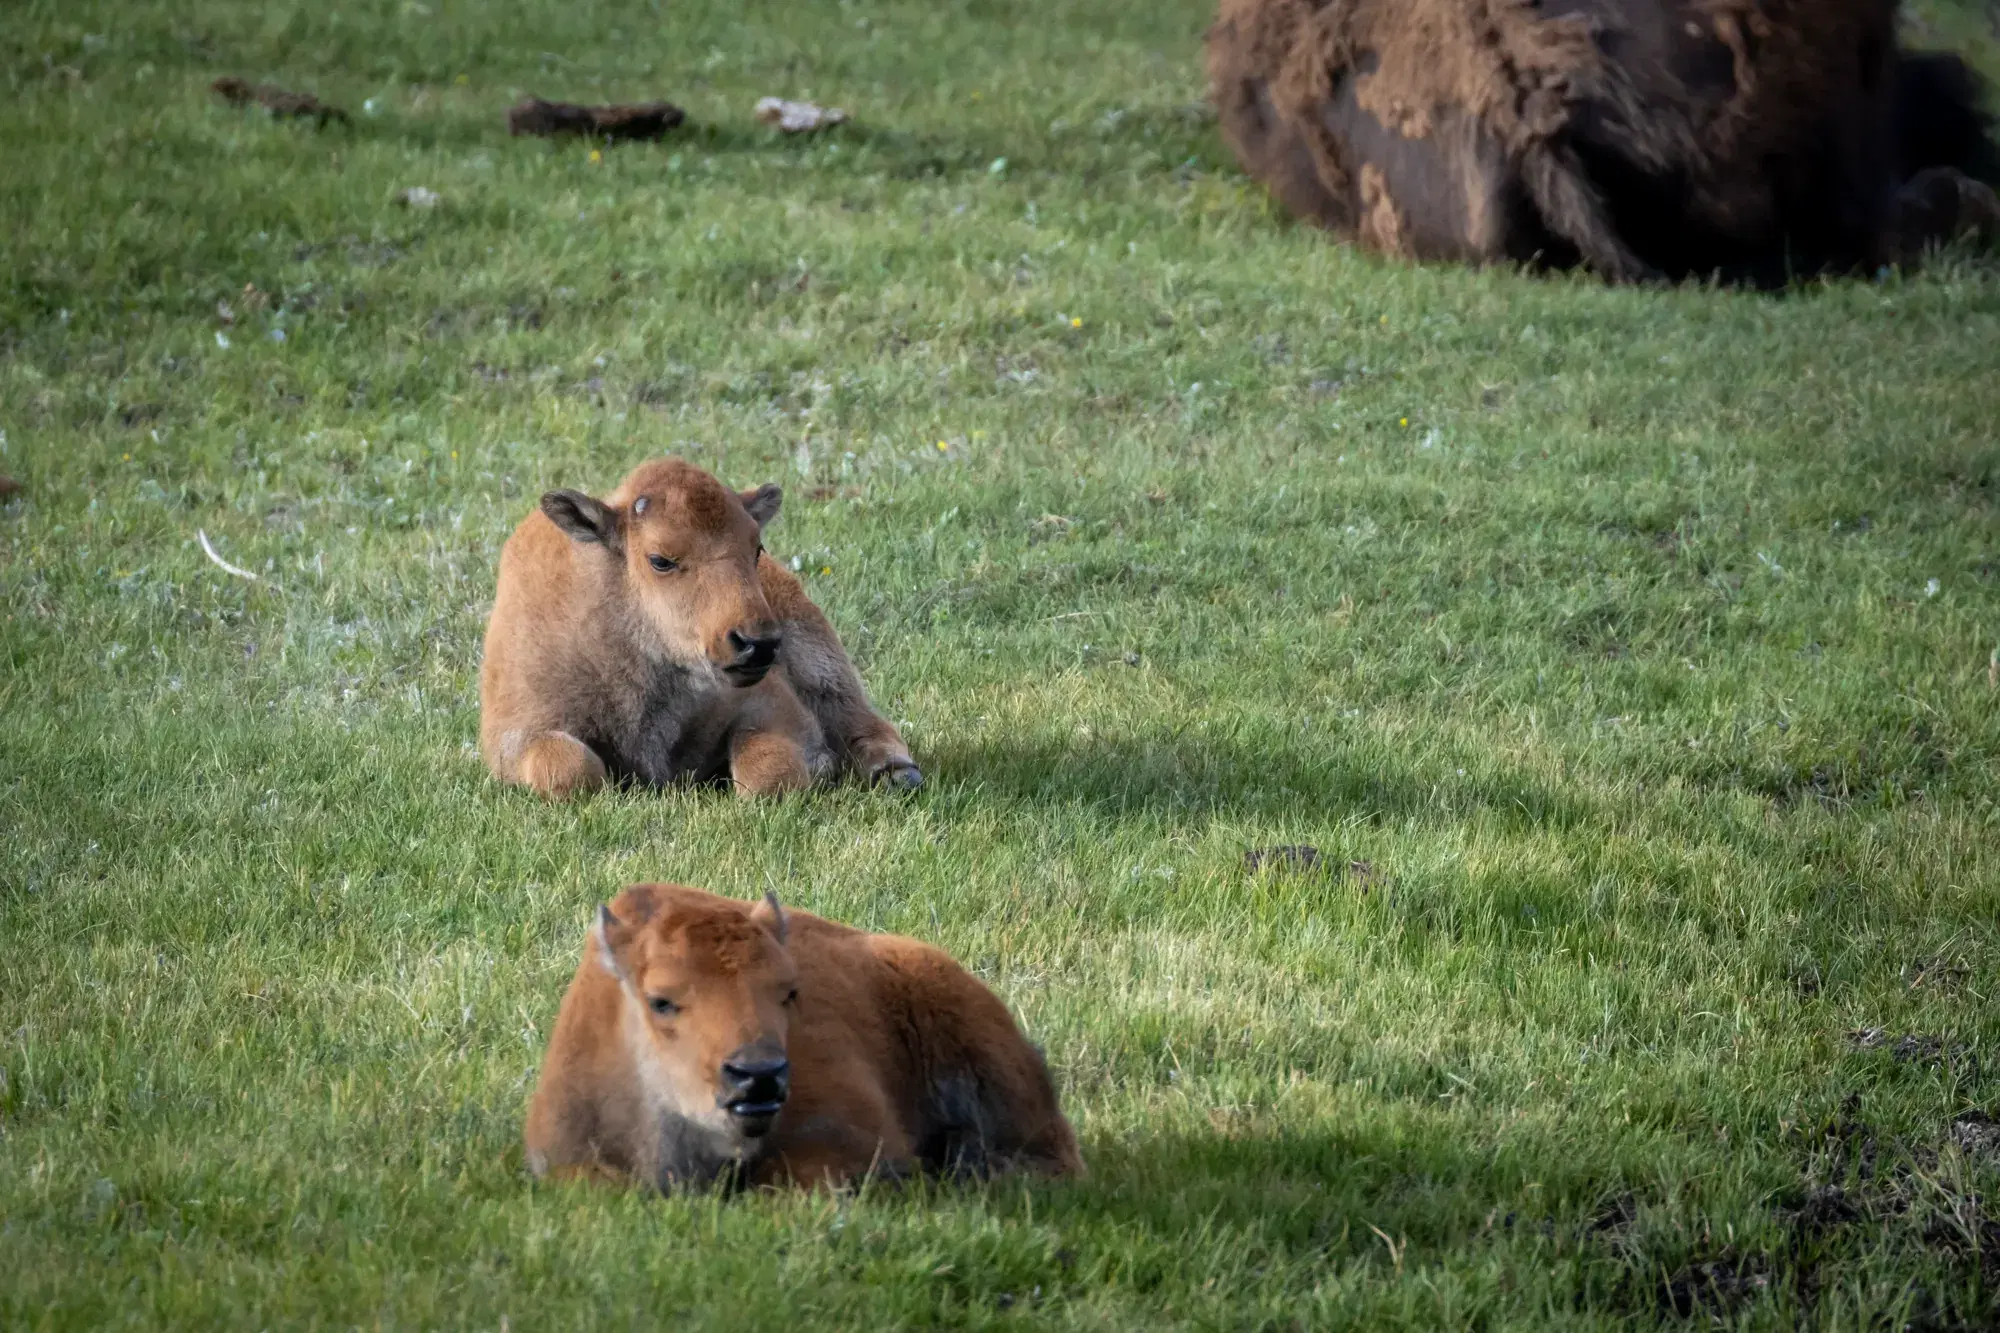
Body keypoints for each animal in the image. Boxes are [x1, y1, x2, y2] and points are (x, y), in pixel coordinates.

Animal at [479, 457, 920, 798]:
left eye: (756, 548)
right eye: (660, 560)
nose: (757, 643)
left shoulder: (773, 705)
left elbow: (768, 773)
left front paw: (822, 765)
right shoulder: (518, 734)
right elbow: (570, 770)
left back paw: (896, 773)